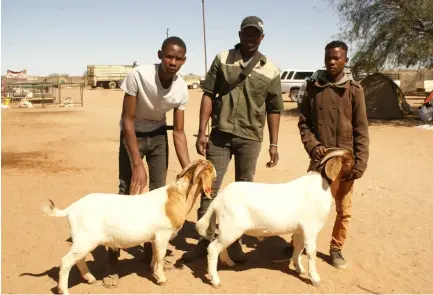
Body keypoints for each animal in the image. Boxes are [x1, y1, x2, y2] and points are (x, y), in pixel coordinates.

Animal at [41, 161, 216, 294]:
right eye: (212, 173)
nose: (214, 187)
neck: (178, 196)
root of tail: (71, 209)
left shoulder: (155, 237)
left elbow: (155, 254)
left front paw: (152, 269)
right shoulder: (162, 235)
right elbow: (160, 255)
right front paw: (161, 278)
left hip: (83, 241)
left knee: (78, 259)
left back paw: (90, 278)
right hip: (85, 240)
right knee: (66, 261)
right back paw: (64, 290)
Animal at [196, 149, 354, 288]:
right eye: (349, 161)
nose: (357, 171)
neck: (321, 185)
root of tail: (218, 199)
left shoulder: (300, 230)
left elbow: (298, 248)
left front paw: (299, 269)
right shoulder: (310, 228)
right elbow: (311, 252)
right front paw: (314, 279)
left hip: (228, 229)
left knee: (219, 246)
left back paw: (228, 262)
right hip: (231, 228)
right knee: (212, 248)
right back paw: (215, 280)